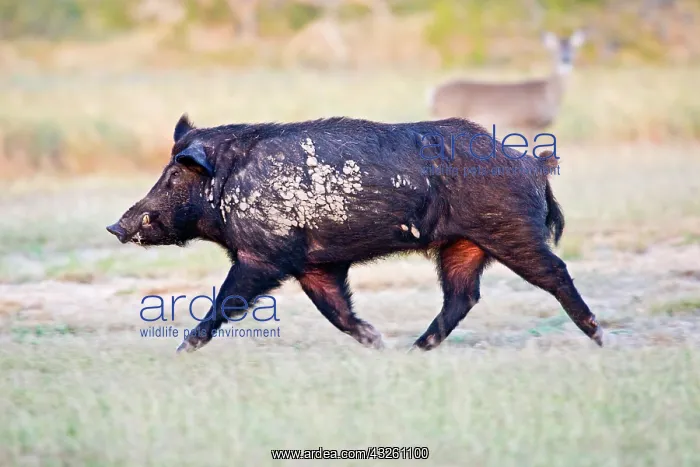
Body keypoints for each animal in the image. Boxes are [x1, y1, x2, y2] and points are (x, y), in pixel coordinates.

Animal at [106, 114, 603, 353]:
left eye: (174, 176)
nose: (116, 225)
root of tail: (533, 165)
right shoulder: (315, 265)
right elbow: (337, 312)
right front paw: (376, 342)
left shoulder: (264, 257)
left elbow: (226, 301)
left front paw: (181, 350)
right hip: (461, 246)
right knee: (462, 296)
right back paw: (412, 351)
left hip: (511, 231)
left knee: (555, 273)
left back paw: (599, 336)